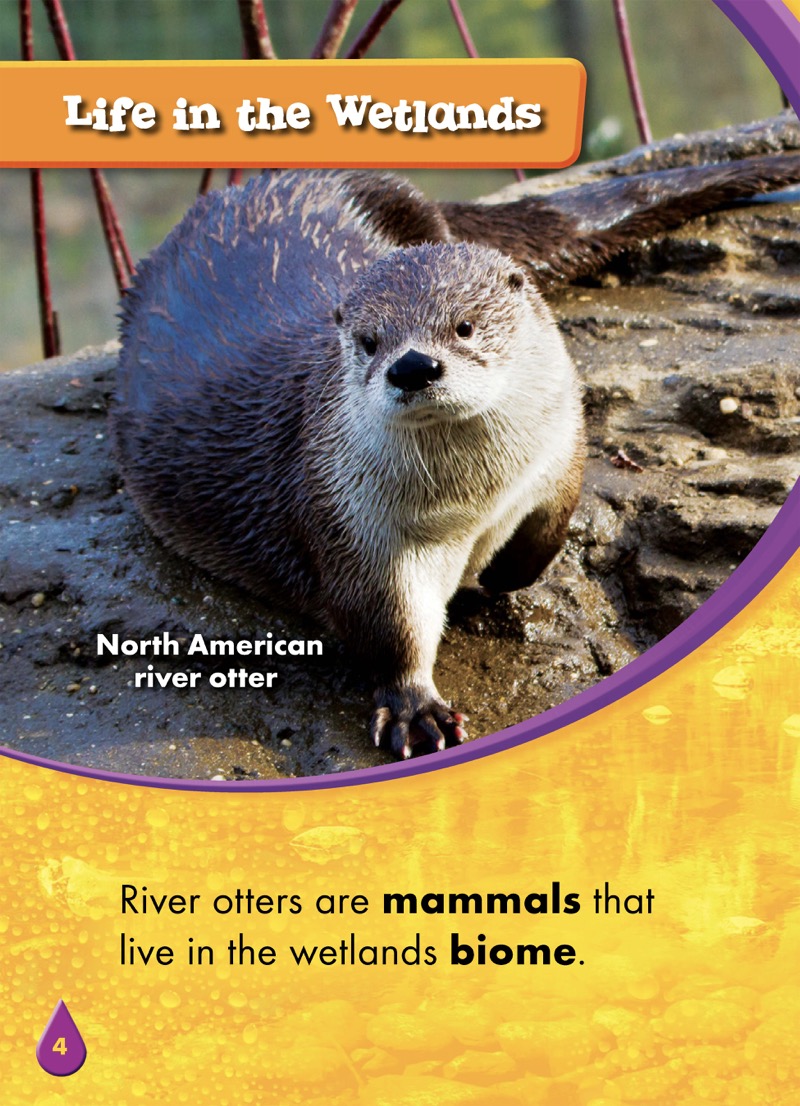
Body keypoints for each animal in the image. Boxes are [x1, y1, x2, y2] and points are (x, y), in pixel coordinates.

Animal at [112, 155, 800, 759]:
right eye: (370, 341)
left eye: (464, 325)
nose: (413, 364)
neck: (472, 499)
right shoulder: (346, 518)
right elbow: (385, 625)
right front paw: (415, 709)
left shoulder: (561, 445)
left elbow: (548, 533)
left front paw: (499, 576)